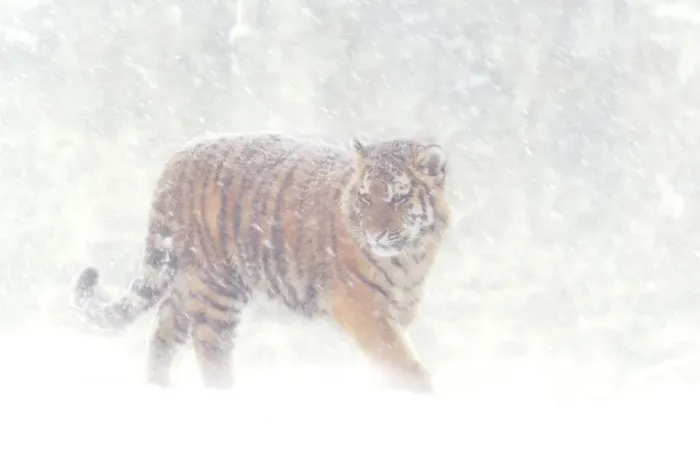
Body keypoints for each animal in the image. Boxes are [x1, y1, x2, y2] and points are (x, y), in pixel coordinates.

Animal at [72, 132, 450, 393]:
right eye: (366, 198)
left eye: (399, 198)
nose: (374, 233)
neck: (411, 255)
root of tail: (179, 157)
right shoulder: (361, 305)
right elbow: (398, 358)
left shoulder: (399, 308)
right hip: (216, 288)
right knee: (211, 351)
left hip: (184, 283)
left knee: (163, 335)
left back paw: (159, 388)